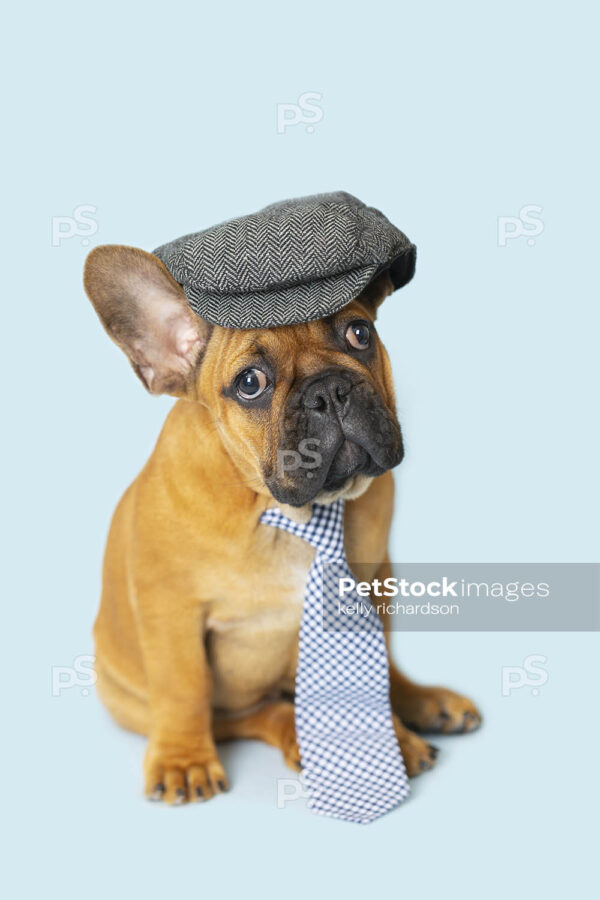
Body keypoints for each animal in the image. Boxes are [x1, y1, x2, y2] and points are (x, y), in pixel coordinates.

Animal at [83, 243, 482, 804]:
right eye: (250, 384)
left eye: (359, 333)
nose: (329, 390)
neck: (289, 512)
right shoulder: (170, 610)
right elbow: (184, 687)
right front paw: (184, 759)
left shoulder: (371, 581)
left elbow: (370, 672)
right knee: (253, 715)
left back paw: (421, 703)